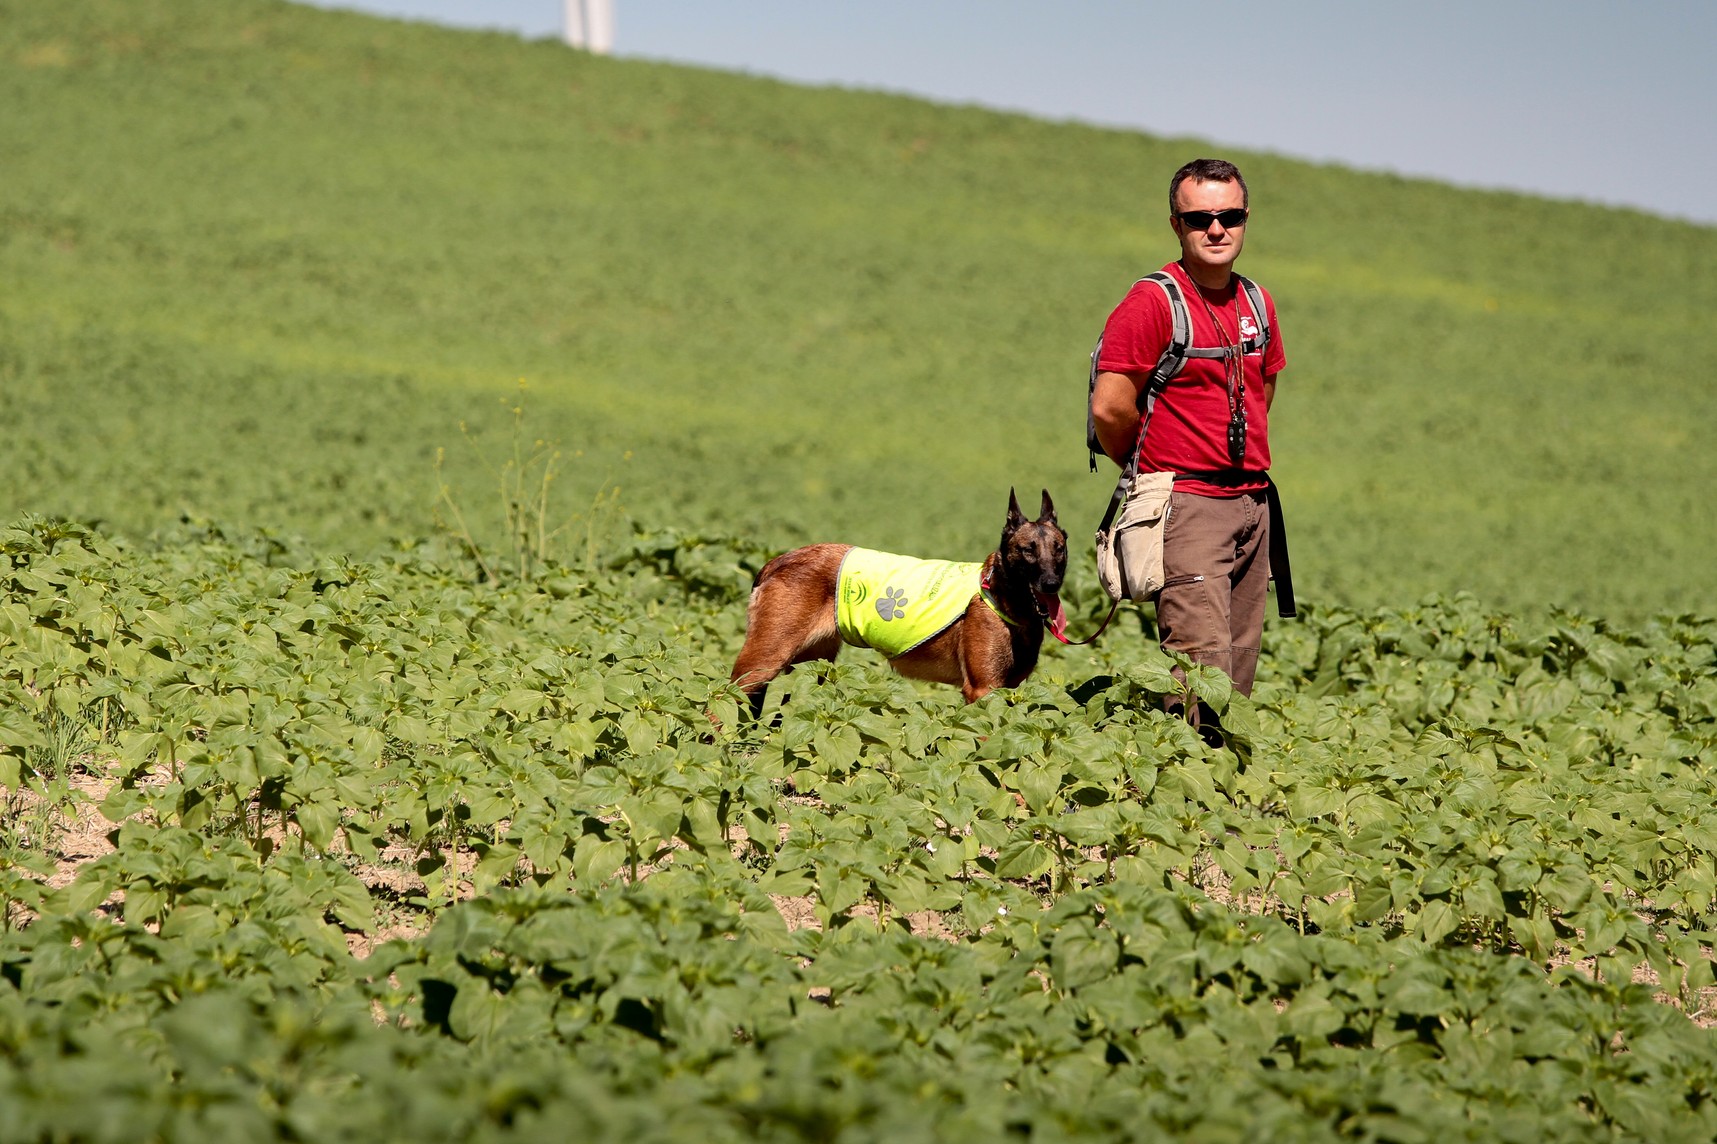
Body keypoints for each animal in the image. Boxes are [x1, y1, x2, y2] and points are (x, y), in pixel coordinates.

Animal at [731, 484, 1064, 714]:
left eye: (1058, 549)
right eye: (1028, 550)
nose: (1051, 583)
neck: (1001, 594)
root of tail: (778, 560)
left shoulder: (1009, 690)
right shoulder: (983, 690)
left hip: (813, 665)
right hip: (764, 662)